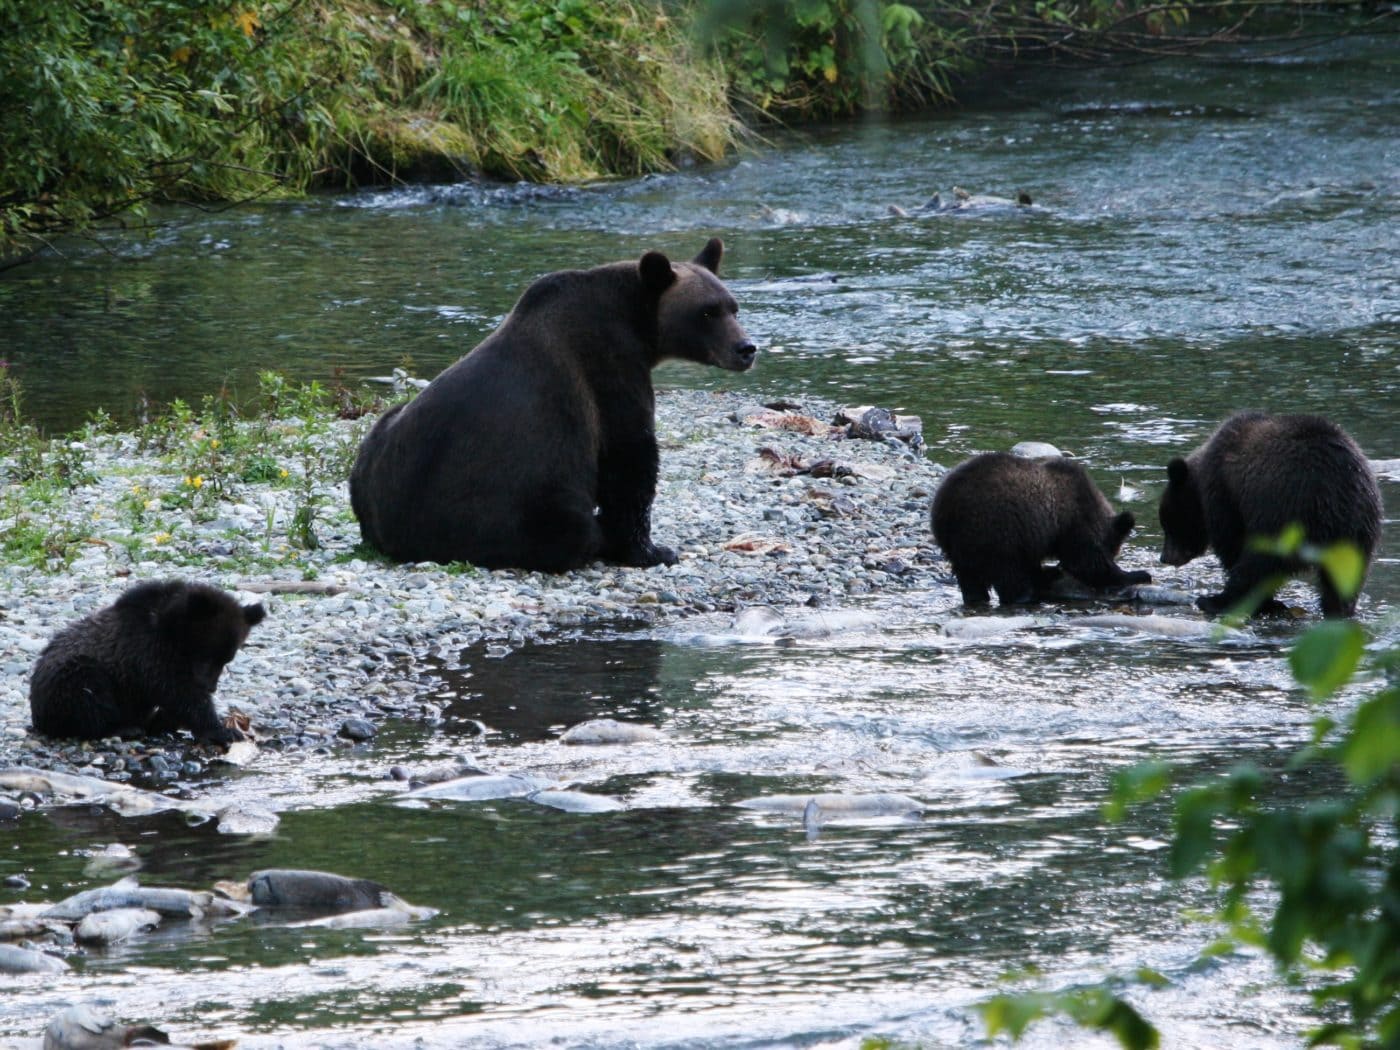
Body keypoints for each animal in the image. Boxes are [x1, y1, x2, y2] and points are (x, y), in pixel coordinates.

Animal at [29, 579, 264, 744]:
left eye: (226, 660)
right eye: (207, 656)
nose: (210, 687)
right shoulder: (147, 652)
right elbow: (179, 692)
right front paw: (222, 730)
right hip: (71, 677)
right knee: (87, 694)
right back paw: (122, 728)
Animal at [355, 238, 761, 571]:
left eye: (733, 307)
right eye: (706, 312)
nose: (746, 348)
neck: (636, 324)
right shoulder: (609, 367)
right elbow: (629, 456)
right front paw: (651, 550)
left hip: (375, 448)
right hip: (509, 508)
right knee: (568, 527)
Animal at [929, 453, 1148, 607]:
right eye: (1114, 549)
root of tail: (946, 506)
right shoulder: (1075, 520)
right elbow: (1089, 562)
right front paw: (1137, 574)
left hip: (960, 543)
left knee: (970, 578)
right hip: (994, 528)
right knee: (1009, 575)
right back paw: (1026, 596)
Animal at [1153, 414, 1383, 621]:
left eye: (1168, 523)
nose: (1165, 557)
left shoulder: (1225, 495)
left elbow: (1231, 542)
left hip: (1287, 515)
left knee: (1259, 563)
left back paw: (1216, 601)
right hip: (1357, 532)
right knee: (1344, 577)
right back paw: (1337, 609)